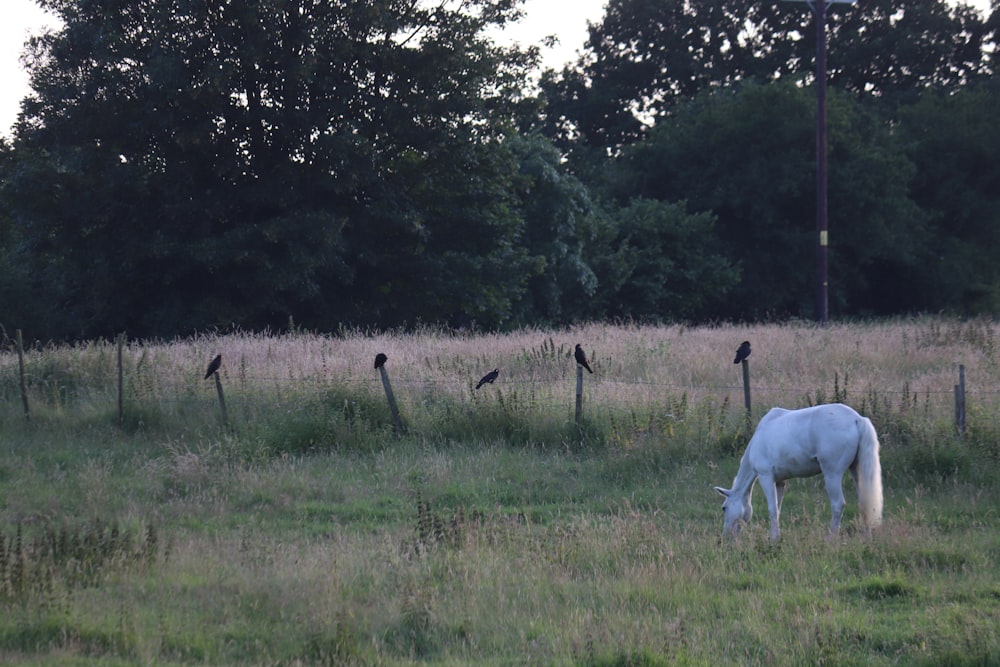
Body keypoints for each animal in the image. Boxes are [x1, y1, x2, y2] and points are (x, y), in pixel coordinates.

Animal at [712, 402, 884, 544]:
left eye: (724, 508)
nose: (725, 537)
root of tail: (857, 419)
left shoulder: (765, 477)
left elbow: (772, 509)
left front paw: (774, 539)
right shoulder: (779, 482)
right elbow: (777, 509)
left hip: (832, 475)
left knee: (838, 505)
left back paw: (830, 539)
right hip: (857, 472)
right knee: (865, 502)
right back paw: (866, 538)